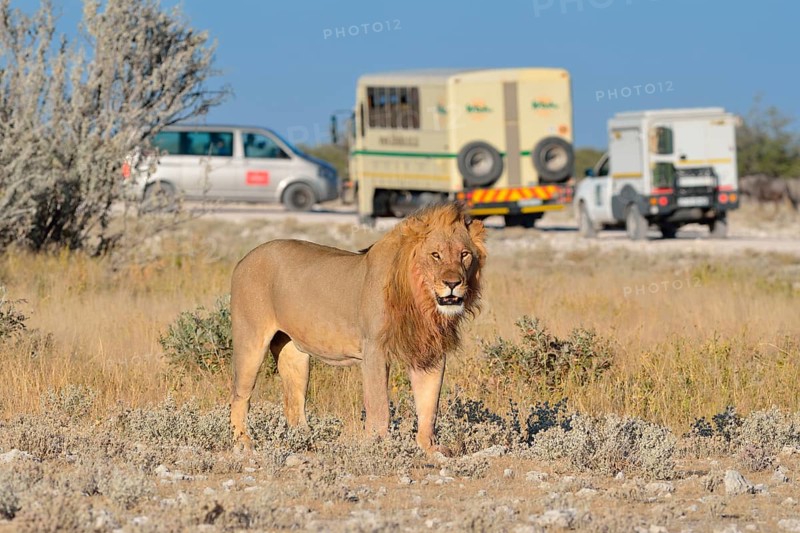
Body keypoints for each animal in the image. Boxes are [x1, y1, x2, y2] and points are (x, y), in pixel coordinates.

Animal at [229, 203, 487, 454]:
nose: (452, 283)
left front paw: (430, 448)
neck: (423, 302)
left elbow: (429, 405)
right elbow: (379, 407)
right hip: (250, 340)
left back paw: (307, 443)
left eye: (464, 254)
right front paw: (377, 447)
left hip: (293, 352)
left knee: (294, 403)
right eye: (436, 255)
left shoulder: (429, 353)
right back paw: (243, 443)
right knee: (240, 395)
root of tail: (245, 258)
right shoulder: (374, 349)